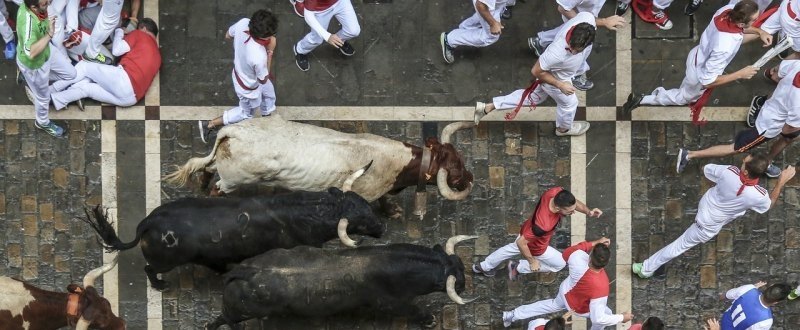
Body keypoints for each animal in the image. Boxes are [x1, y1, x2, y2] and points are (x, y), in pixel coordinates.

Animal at [81, 187, 384, 290]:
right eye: (362, 220)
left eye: (367, 205)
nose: (381, 228)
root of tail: (148, 223)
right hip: (164, 261)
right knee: (148, 269)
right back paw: (160, 285)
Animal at [164, 114, 476, 218]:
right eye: (455, 169)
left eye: (460, 159)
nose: (470, 178)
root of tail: (233, 132)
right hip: (232, 180)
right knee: (217, 189)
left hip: (222, 166)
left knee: (206, 170)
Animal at [206, 236, 478, 328]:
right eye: (458, 279)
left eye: (460, 264)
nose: (465, 283)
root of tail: (244, 270)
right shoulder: (392, 303)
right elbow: (414, 310)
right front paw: (429, 320)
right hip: (240, 310)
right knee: (223, 318)